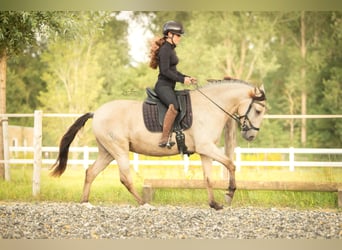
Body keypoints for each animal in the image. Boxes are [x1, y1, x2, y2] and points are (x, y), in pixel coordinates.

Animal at [50, 78, 268, 209]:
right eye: (258, 110)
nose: (251, 136)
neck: (209, 106)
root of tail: (96, 113)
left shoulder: (205, 151)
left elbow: (208, 178)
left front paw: (214, 204)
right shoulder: (206, 147)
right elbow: (231, 164)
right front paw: (229, 193)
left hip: (107, 152)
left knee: (90, 172)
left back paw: (85, 202)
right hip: (119, 150)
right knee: (125, 178)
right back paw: (144, 204)